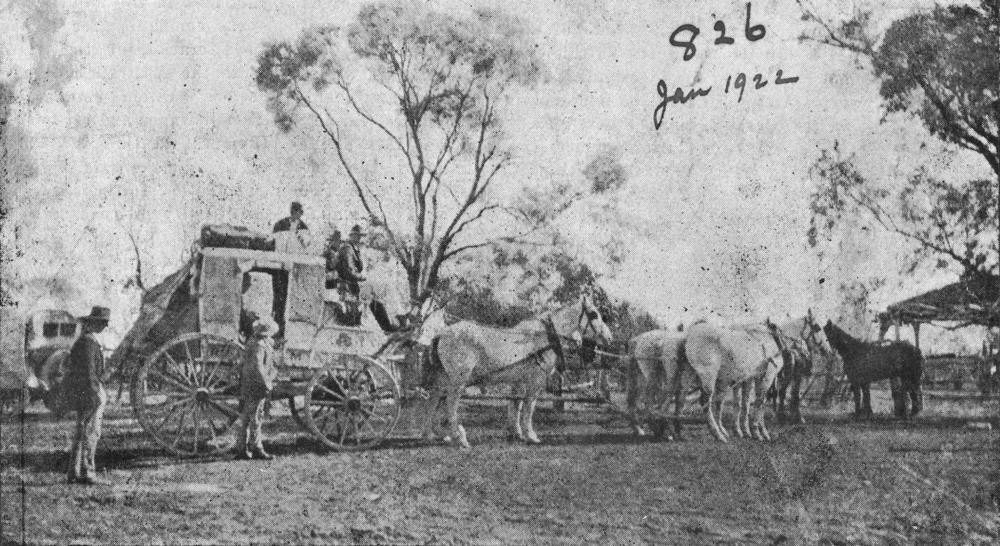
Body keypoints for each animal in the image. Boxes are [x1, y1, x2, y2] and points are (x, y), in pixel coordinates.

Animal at [420, 296, 608, 448]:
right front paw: (530, 435)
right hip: (458, 380)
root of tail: (441, 334)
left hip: (443, 378)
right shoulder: (535, 382)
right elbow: (528, 407)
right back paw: (459, 438)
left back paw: (432, 434)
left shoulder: (518, 381)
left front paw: (516, 433)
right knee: (451, 403)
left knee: (433, 399)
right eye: (593, 314)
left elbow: (516, 405)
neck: (543, 337)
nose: (608, 337)